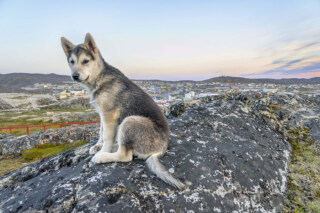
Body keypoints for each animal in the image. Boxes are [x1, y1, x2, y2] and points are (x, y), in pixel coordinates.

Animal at [60, 32, 185, 189]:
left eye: (85, 61)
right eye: (71, 61)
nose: (75, 76)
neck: (99, 77)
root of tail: (160, 150)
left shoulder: (109, 114)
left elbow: (107, 136)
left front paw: (103, 150)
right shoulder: (102, 113)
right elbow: (101, 131)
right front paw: (98, 145)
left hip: (129, 121)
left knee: (126, 156)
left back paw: (103, 156)